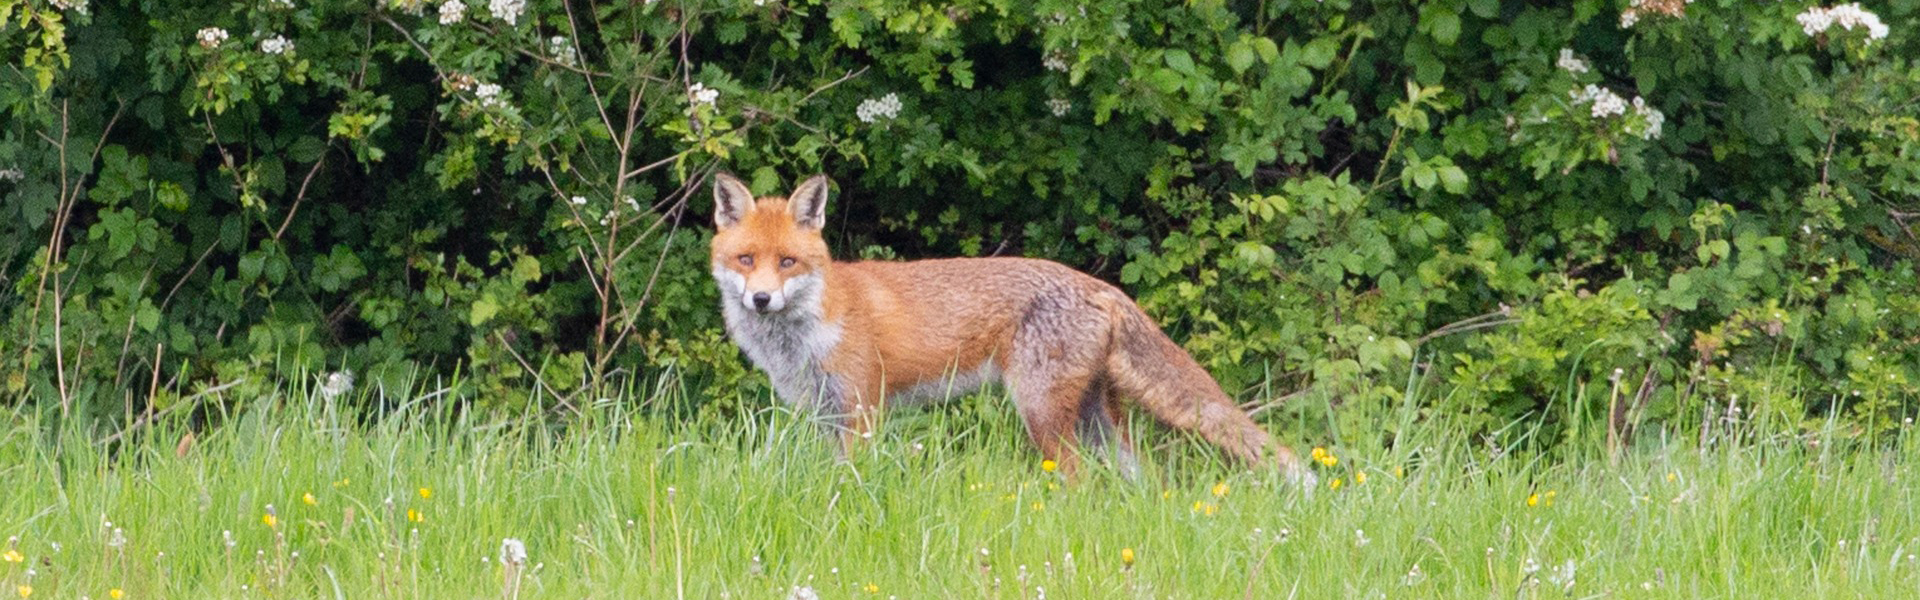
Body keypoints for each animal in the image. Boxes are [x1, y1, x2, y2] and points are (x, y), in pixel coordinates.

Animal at [709, 172, 1311, 482]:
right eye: (746, 260)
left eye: (787, 262)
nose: (761, 298)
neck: (808, 331)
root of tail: (1102, 286)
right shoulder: (821, 415)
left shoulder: (860, 411)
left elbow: (852, 483)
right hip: (1097, 421)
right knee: (1140, 481)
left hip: (1042, 413)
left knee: (1078, 481)